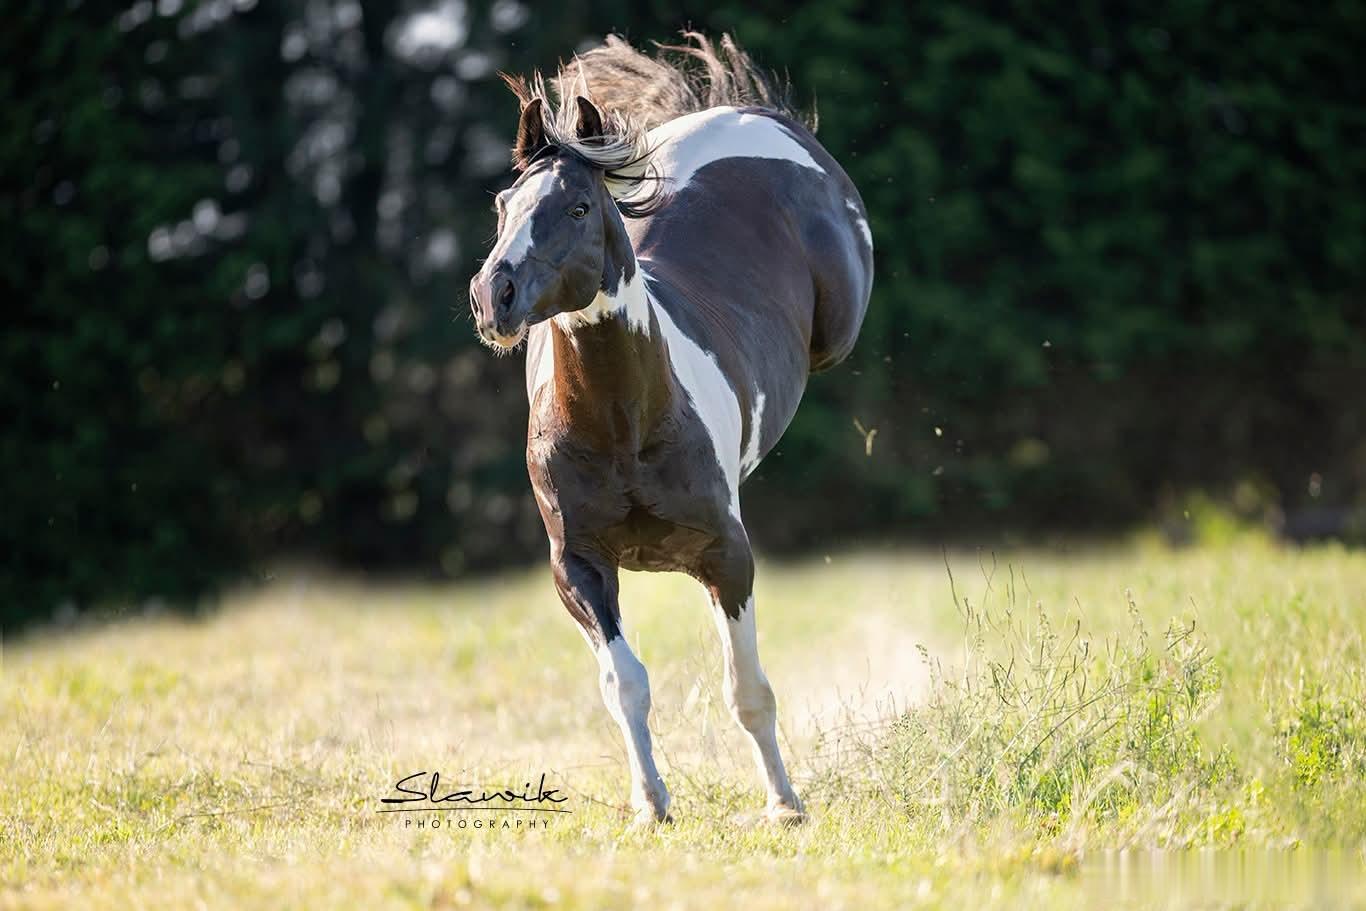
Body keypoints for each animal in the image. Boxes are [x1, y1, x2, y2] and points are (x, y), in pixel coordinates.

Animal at [468, 34, 873, 826]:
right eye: (503, 204)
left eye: (578, 206)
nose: (492, 295)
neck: (625, 422)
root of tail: (732, 111)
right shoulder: (579, 565)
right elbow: (625, 683)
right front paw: (651, 803)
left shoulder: (727, 555)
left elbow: (748, 690)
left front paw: (785, 805)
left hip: (839, 325)